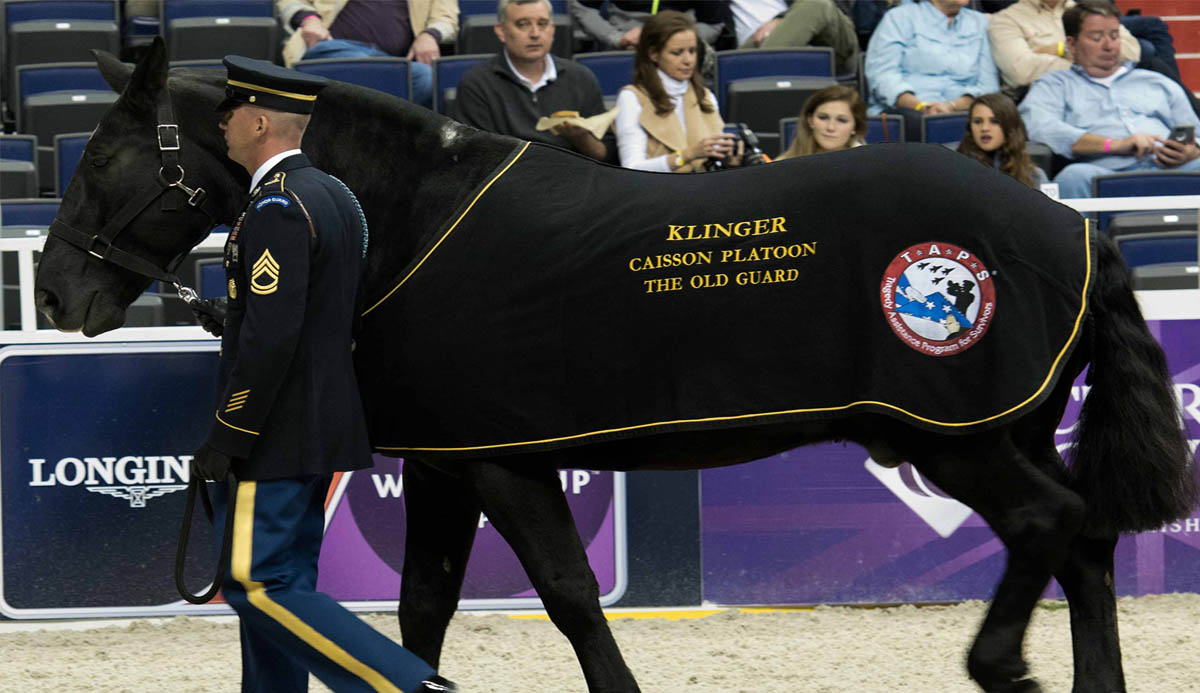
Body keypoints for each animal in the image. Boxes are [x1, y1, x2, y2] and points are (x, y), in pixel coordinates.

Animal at [32, 40, 1195, 685]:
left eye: (109, 158)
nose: (52, 295)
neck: (410, 219)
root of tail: (1076, 233)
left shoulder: (502, 462)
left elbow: (568, 595)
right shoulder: (448, 464)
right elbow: (423, 609)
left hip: (957, 441)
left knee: (1054, 525)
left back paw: (998, 666)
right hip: (1001, 431)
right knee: (1086, 545)